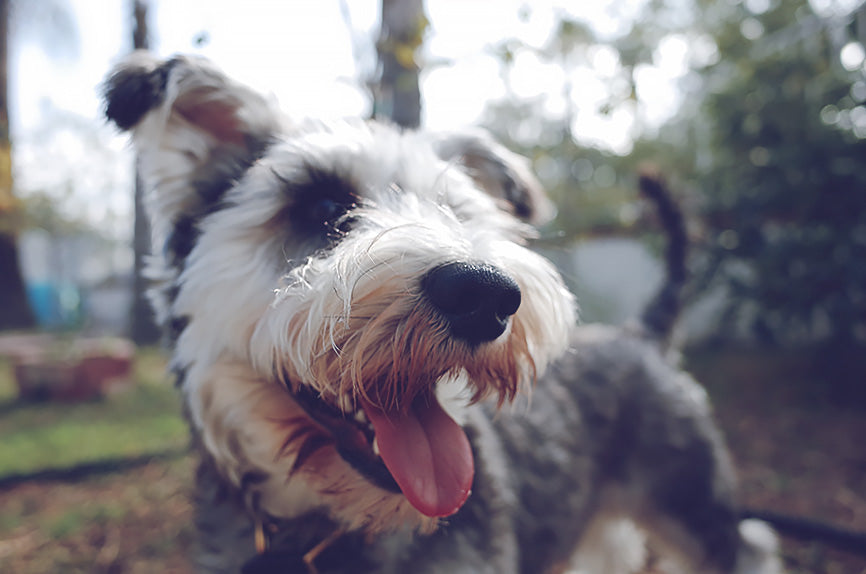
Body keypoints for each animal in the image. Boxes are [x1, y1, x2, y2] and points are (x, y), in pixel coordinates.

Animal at [103, 54, 784, 574]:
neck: (335, 529)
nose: (485, 295)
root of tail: (640, 335)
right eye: (321, 204)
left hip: (695, 503)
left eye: (457, 211)